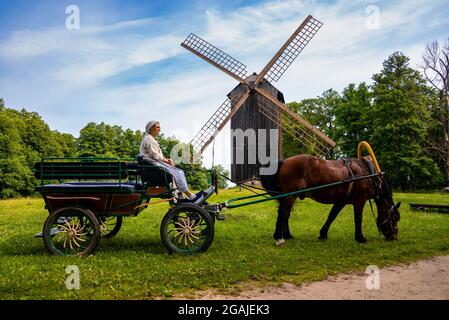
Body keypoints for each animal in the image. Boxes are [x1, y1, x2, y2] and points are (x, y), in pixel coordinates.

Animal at [260, 154, 400, 245]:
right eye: (395, 218)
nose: (394, 236)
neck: (367, 172)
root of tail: (284, 161)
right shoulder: (360, 200)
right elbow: (358, 218)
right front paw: (360, 238)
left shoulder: (340, 202)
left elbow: (331, 216)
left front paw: (323, 234)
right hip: (290, 195)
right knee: (283, 213)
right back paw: (278, 237)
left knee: (286, 214)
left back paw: (287, 235)